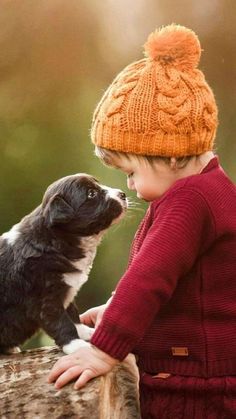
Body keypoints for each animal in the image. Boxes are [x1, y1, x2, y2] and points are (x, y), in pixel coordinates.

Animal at [0, 174, 127, 354]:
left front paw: (85, 332)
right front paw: (76, 345)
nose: (123, 194)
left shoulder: (68, 289)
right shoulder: (45, 299)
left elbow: (72, 314)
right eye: (91, 194)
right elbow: (62, 323)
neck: (55, 240)